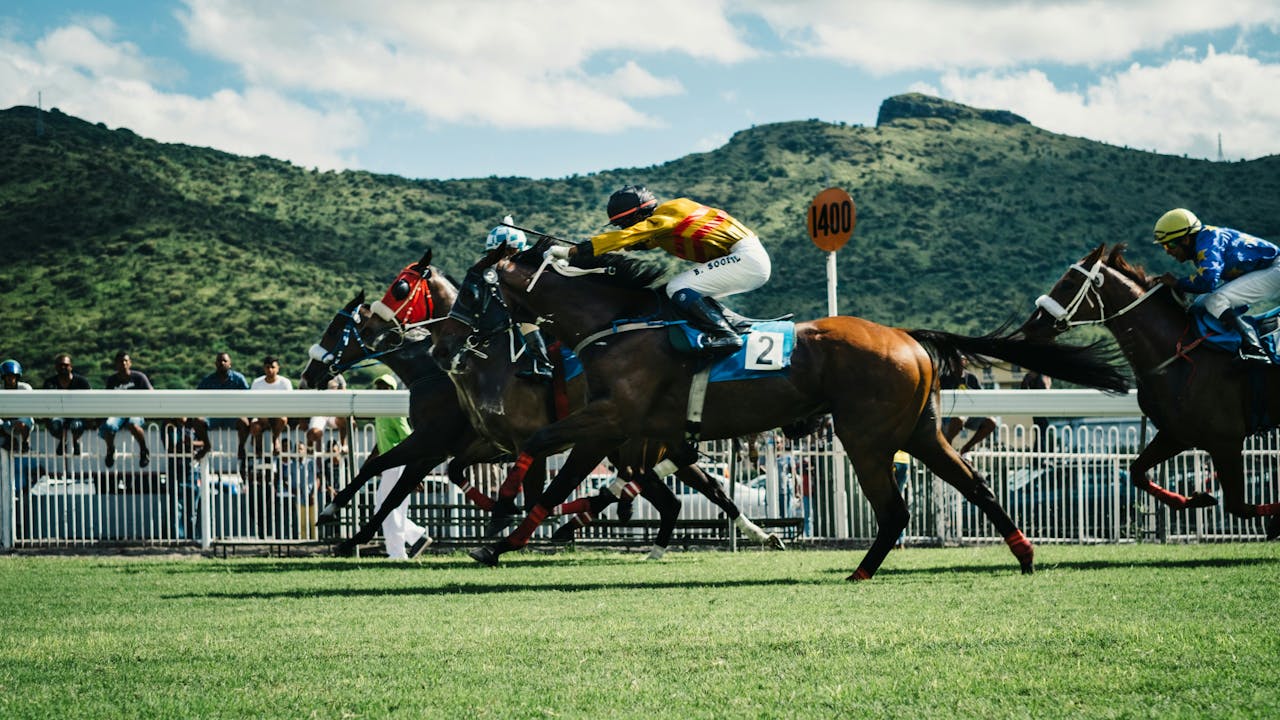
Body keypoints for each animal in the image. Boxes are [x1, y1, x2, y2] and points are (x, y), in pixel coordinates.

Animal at [463, 238, 1131, 579]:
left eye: (475, 288)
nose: (465, 336)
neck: (619, 323)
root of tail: (907, 337)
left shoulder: (611, 421)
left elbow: (539, 454)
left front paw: (495, 519)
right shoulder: (621, 431)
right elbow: (562, 478)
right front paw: (500, 537)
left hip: (865, 437)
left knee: (896, 509)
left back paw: (862, 570)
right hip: (919, 432)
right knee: (975, 485)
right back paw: (1023, 553)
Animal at [1018, 243, 1280, 535]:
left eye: (1068, 283)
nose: (1031, 325)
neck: (1179, 357)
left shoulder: (1226, 440)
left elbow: (1238, 506)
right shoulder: (1176, 435)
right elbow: (1137, 473)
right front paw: (1198, 498)